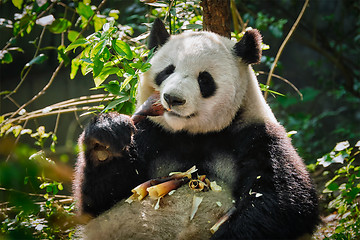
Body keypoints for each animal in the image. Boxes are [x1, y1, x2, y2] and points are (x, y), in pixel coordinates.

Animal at [73, 17, 318, 239]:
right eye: (167, 70)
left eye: (204, 79)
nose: (172, 99)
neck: (193, 133)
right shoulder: (151, 134)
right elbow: (101, 200)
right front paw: (106, 138)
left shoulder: (255, 134)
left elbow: (282, 200)